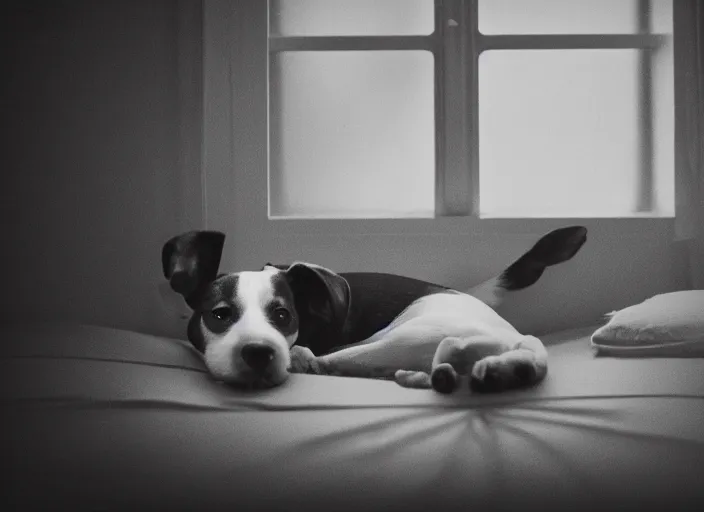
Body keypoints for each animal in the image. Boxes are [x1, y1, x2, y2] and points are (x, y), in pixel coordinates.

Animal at [162, 226, 584, 394]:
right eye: (219, 314)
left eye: (283, 315)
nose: (259, 353)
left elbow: (311, 357)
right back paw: (496, 370)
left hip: (397, 336)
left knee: (328, 362)